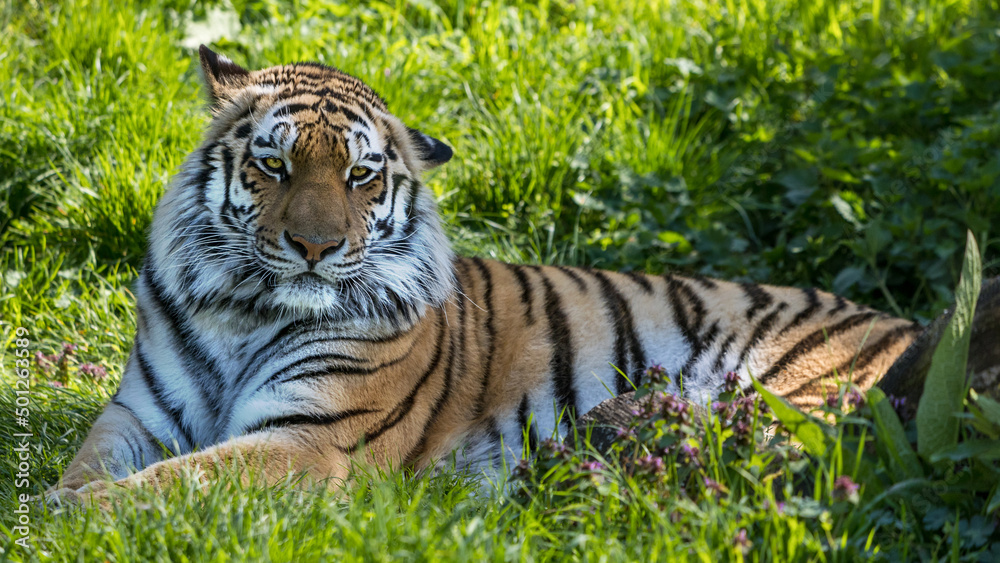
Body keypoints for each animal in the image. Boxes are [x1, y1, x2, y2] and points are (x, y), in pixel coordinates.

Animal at [47, 46, 923, 502]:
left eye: (361, 176)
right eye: (274, 165)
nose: (314, 248)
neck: (245, 307)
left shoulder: (309, 438)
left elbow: (157, 488)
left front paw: (62, 521)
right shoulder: (135, 415)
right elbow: (94, 465)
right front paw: (48, 501)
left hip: (797, 397)